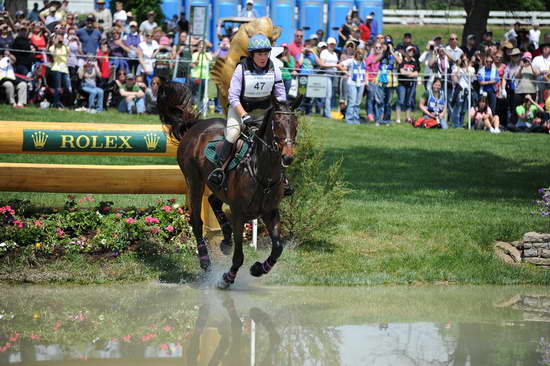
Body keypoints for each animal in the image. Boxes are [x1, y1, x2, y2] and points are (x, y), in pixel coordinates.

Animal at [157, 81, 302, 288]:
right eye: (277, 124)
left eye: (295, 124)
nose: (288, 157)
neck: (262, 172)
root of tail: (196, 126)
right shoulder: (239, 213)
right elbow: (239, 256)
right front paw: (227, 278)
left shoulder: (270, 212)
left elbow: (278, 248)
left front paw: (259, 269)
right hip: (194, 181)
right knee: (196, 220)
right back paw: (205, 261)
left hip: (218, 187)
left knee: (213, 201)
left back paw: (226, 240)